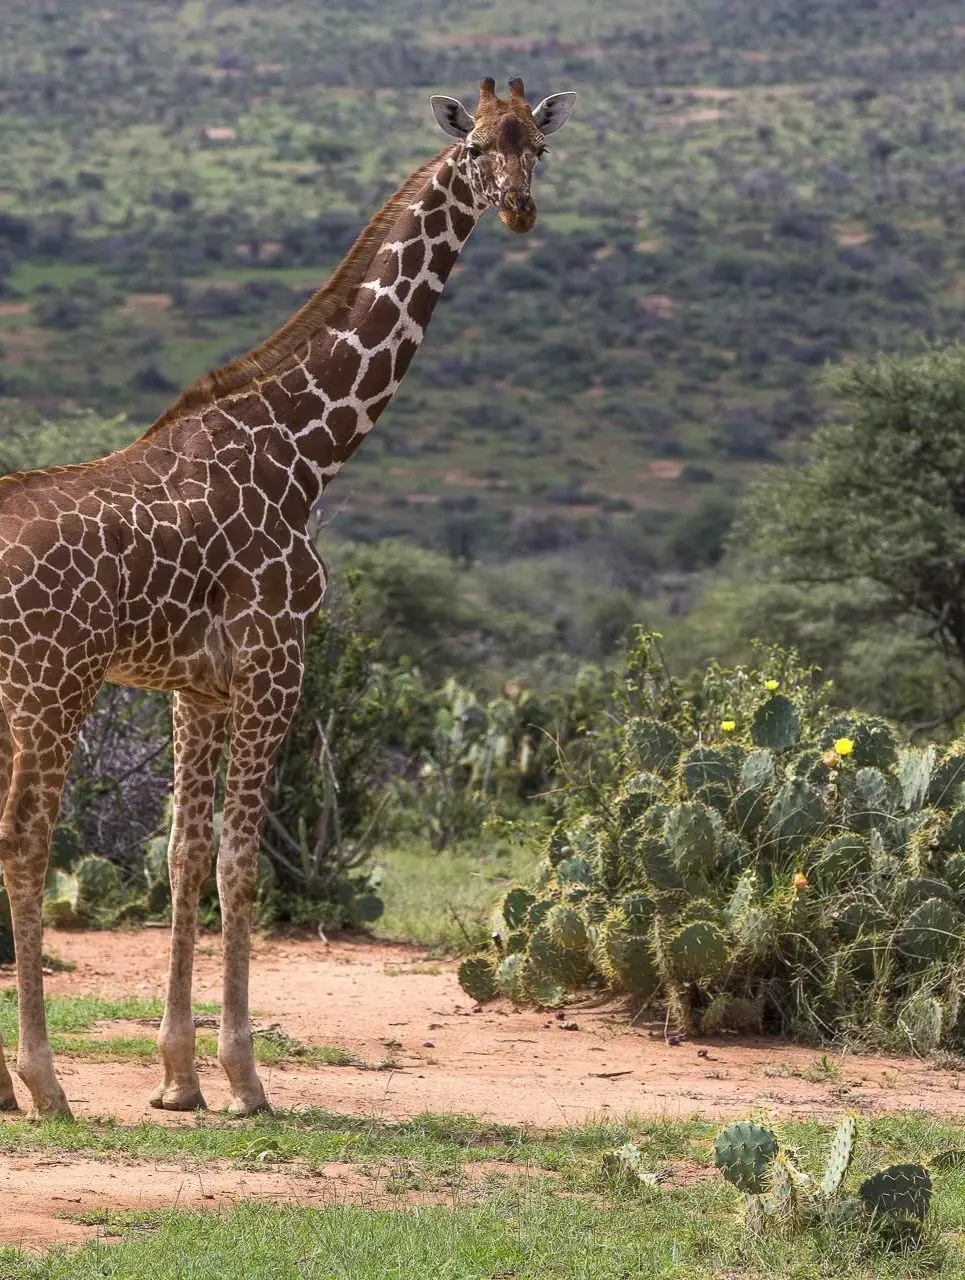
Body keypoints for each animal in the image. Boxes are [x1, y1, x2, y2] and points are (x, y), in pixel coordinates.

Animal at [0, 77, 577, 1119]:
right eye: (474, 147)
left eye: (536, 150)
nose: (517, 208)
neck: (308, 451)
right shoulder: (276, 662)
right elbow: (241, 860)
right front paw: (244, 1077)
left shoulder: (196, 687)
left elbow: (184, 856)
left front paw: (178, 1080)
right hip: (49, 687)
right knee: (24, 843)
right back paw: (44, 1081)